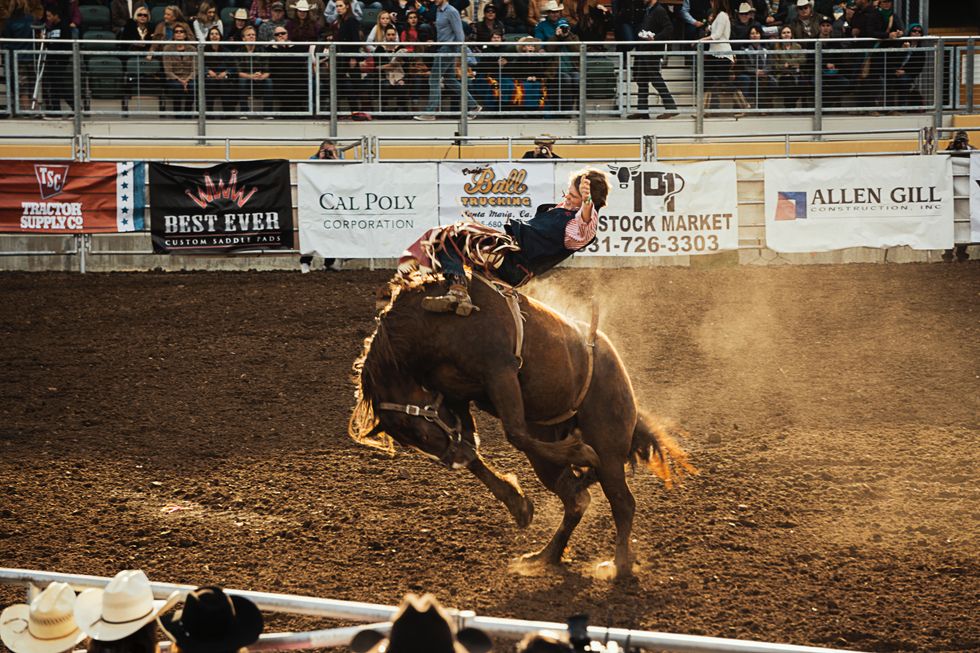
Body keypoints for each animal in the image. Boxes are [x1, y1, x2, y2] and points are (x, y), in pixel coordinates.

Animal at [349, 273, 696, 578]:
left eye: (420, 432)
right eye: (412, 440)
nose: (453, 461)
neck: (432, 325)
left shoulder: (500, 372)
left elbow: (513, 433)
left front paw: (579, 453)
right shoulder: (455, 395)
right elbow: (475, 448)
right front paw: (518, 504)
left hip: (609, 442)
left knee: (622, 503)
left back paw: (619, 564)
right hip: (548, 458)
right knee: (576, 500)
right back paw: (545, 555)